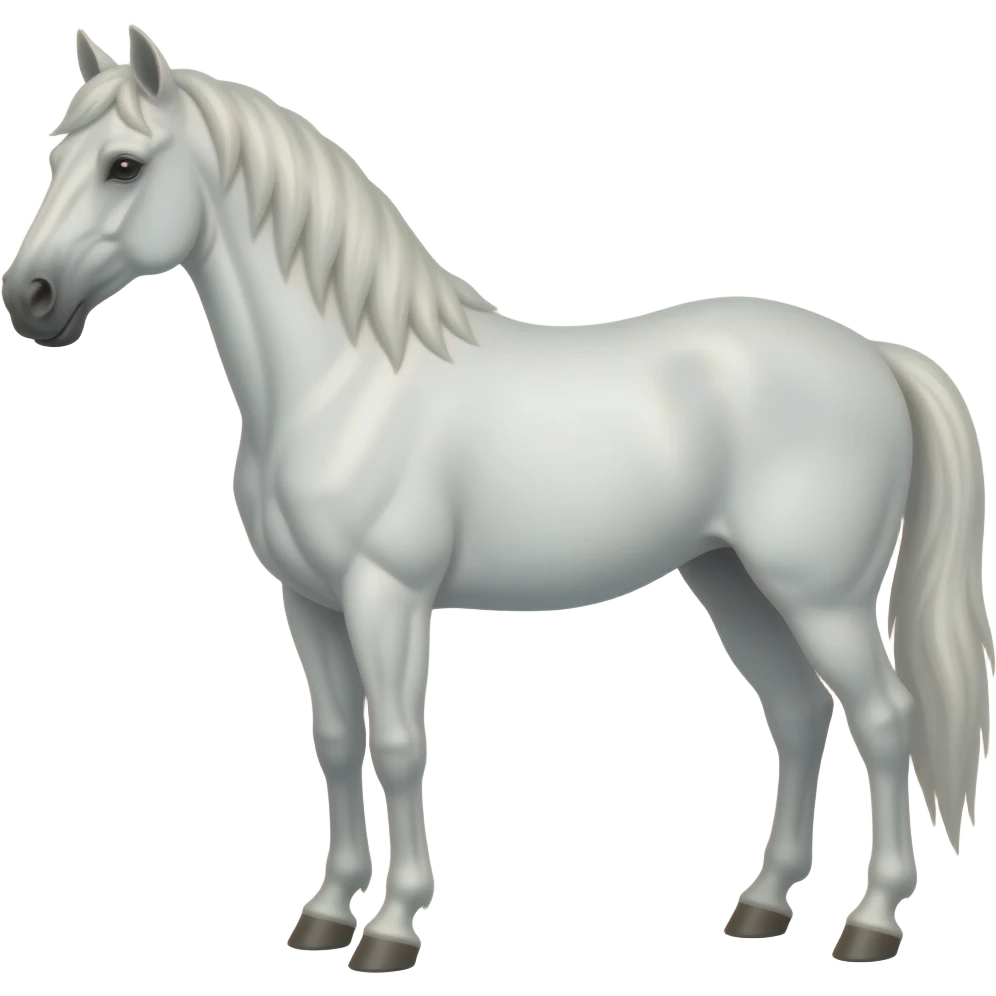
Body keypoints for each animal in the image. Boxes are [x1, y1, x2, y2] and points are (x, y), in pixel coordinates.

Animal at [2, 25, 991, 973]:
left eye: (124, 165)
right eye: (54, 154)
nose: (30, 299)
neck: (342, 382)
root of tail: (873, 357)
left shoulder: (387, 597)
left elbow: (401, 746)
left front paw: (392, 929)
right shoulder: (310, 603)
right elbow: (337, 742)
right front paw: (325, 914)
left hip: (821, 597)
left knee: (884, 720)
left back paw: (872, 924)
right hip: (733, 581)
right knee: (798, 714)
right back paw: (761, 906)